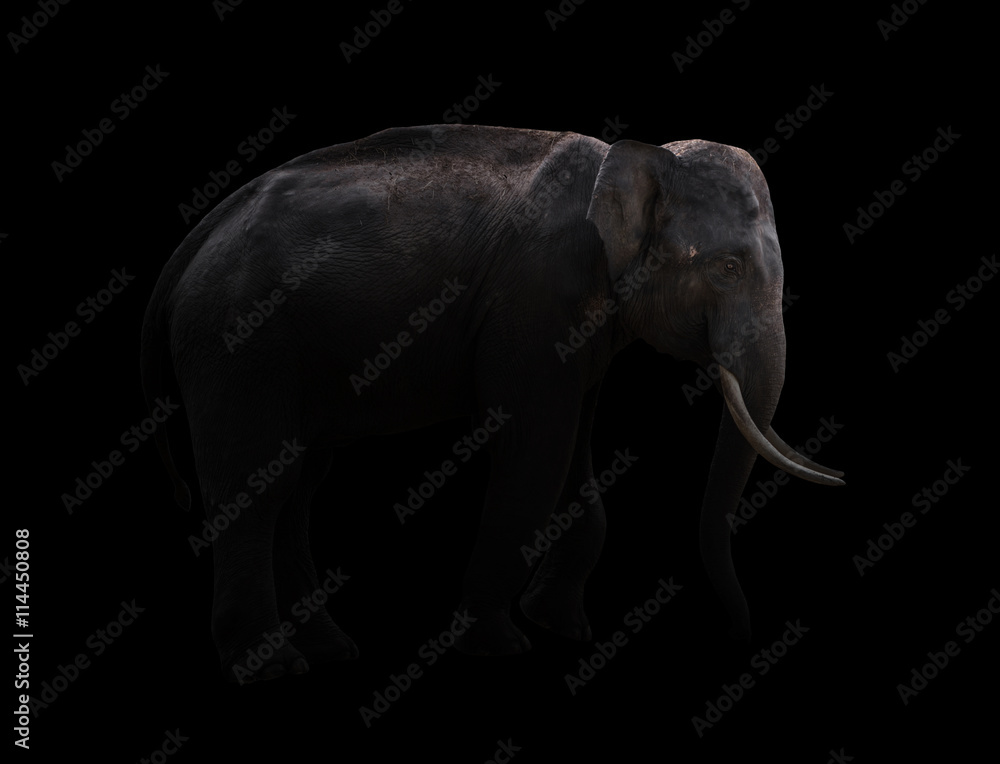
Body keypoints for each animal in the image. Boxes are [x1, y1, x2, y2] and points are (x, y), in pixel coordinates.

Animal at [141, 122, 844, 684]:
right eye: (728, 269)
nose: (735, 636)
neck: (634, 158)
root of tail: (194, 240)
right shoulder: (536, 295)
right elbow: (536, 444)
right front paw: (501, 646)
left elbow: (573, 443)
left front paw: (562, 629)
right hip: (237, 344)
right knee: (254, 484)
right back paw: (271, 668)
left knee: (297, 482)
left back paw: (330, 650)